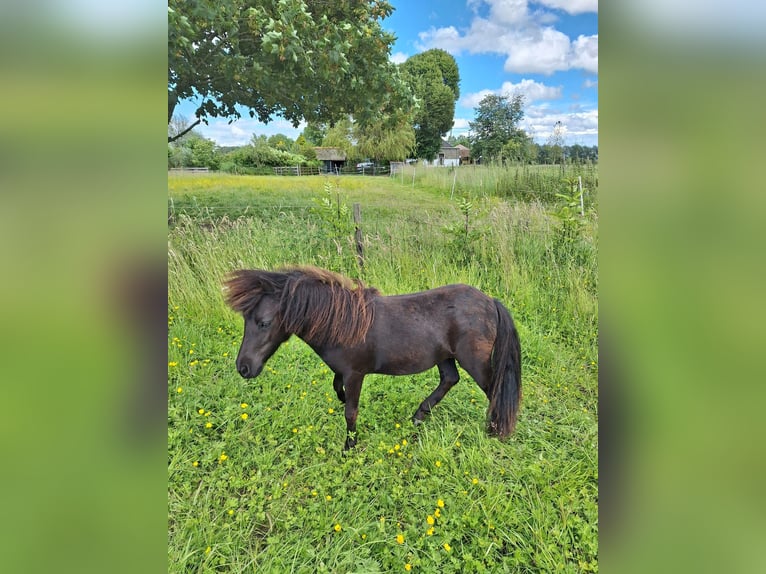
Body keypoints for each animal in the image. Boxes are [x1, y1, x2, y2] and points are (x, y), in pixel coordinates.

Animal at [222, 268, 520, 452]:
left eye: (264, 322)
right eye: (246, 320)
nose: (243, 367)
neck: (342, 323)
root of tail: (490, 301)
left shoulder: (355, 374)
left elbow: (350, 411)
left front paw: (349, 446)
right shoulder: (343, 372)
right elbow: (337, 388)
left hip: (474, 361)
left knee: (493, 389)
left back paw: (495, 429)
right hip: (445, 356)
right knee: (450, 379)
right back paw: (418, 416)